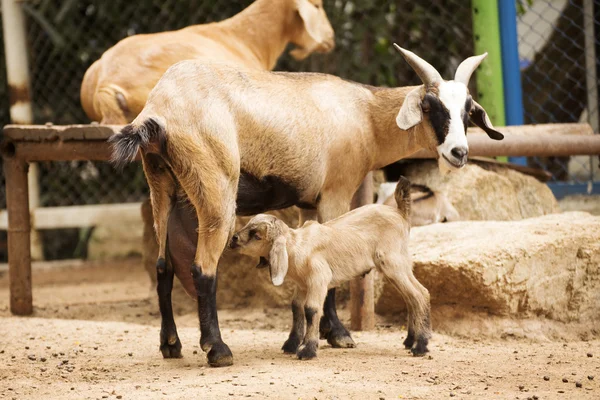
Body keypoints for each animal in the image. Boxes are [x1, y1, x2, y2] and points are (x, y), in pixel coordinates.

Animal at [227, 177, 428, 360]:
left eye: (257, 236)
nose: (233, 239)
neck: (296, 246)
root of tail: (400, 213)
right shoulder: (302, 285)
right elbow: (297, 308)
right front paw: (292, 344)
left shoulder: (318, 278)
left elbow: (311, 309)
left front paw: (307, 350)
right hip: (399, 265)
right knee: (412, 297)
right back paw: (410, 341)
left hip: (393, 262)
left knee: (420, 294)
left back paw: (421, 346)